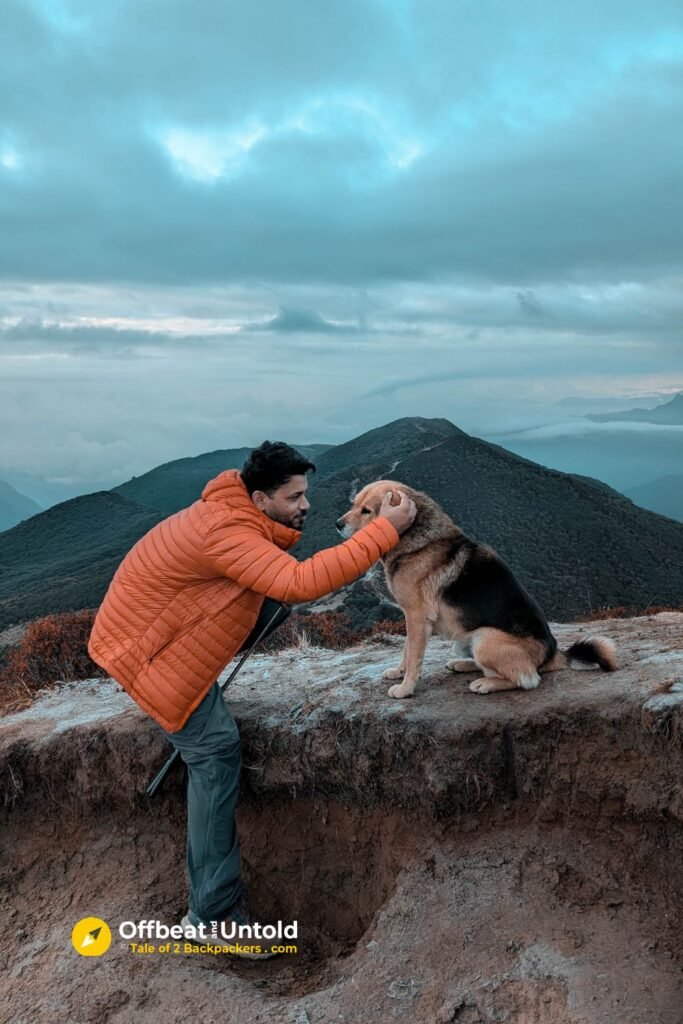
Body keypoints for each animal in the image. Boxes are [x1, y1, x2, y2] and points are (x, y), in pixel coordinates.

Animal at [333, 479, 618, 696]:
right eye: (354, 504)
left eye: (366, 510)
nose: (337, 524)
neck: (416, 539)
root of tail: (552, 655)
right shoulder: (410, 617)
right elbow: (406, 650)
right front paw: (398, 672)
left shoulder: (416, 617)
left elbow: (414, 657)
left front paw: (405, 689)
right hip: (467, 638)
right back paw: (463, 665)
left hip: (485, 638)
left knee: (528, 679)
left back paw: (486, 684)